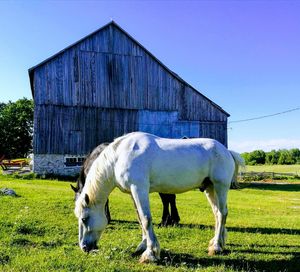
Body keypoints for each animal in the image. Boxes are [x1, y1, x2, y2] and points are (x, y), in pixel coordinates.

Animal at [74, 132, 244, 264]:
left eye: (84, 219)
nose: (84, 248)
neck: (120, 156)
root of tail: (227, 151)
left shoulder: (139, 188)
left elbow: (146, 219)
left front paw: (150, 254)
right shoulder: (133, 193)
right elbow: (140, 218)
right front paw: (142, 246)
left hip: (220, 186)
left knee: (222, 213)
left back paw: (216, 247)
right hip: (210, 188)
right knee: (217, 214)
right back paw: (217, 242)